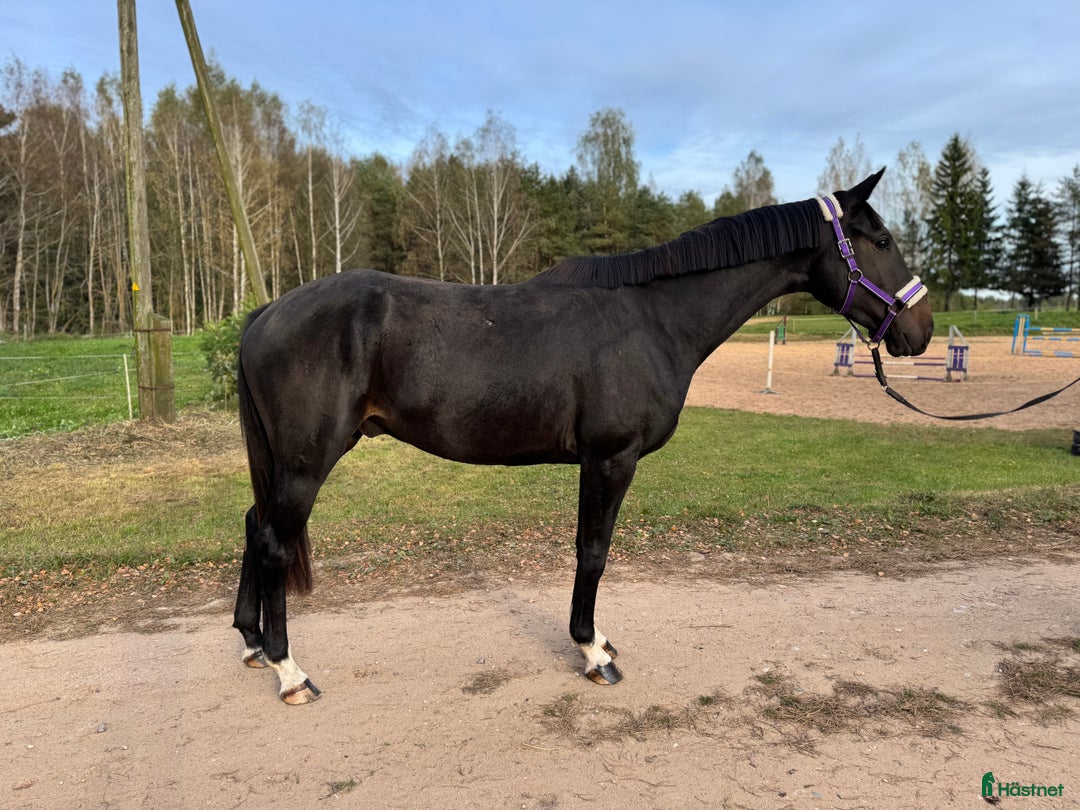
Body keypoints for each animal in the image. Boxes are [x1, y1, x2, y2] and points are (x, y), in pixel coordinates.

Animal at [234, 169, 934, 704]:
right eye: (882, 238)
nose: (920, 329)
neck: (653, 319)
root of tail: (266, 313)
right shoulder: (609, 459)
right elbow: (592, 552)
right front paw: (594, 652)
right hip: (307, 461)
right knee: (273, 543)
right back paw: (289, 672)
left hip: (287, 463)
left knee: (254, 524)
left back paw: (252, 644)